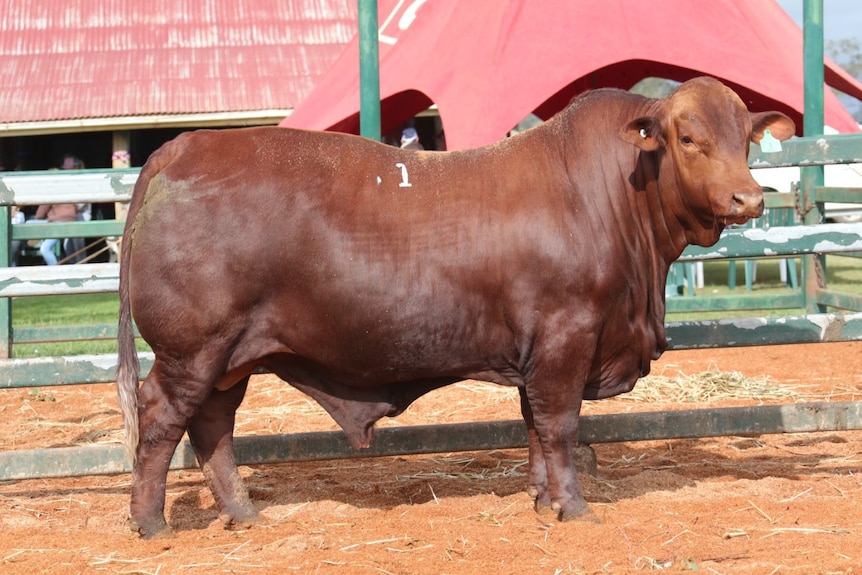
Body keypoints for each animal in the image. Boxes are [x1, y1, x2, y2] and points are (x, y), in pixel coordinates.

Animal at [116, 74, 796, 536]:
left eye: (747, 139)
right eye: (688, 136)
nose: (748, 199)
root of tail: (181, 149)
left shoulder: (535, 352)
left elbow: (533, 426)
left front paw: (542, 500)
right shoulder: (565, 335)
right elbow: (560, 425)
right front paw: (574, 507)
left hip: (230, 357)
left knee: (213, 426)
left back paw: (242, 512)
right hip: (192, 349)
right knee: (161, 419)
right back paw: (150, 522)